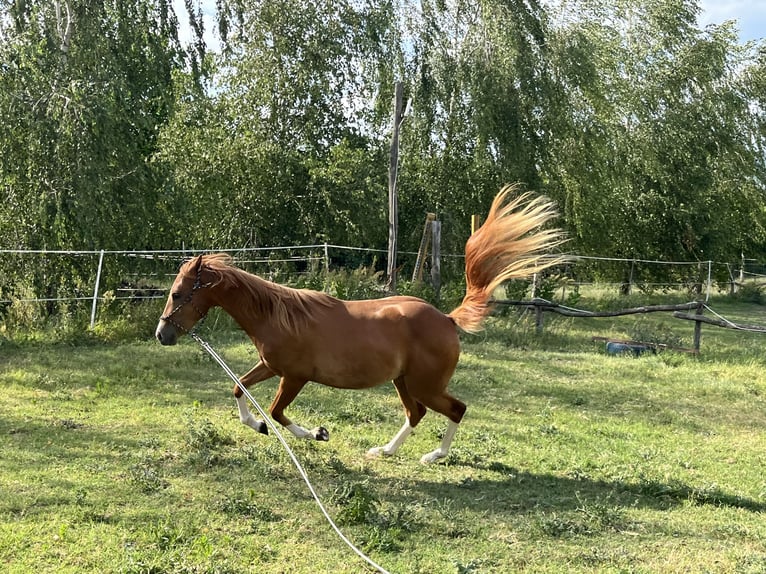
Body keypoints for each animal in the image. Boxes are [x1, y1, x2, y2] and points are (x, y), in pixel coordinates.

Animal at [155, 185, 565, 463]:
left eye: (177, 293)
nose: (162, 334)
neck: (279, 316)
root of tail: (447, 320)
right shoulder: (272, 366)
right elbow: (239, 388)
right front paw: (257, 426)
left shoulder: (294, 376)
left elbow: (276, 411)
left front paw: (316, 433)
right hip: (403, 382)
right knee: (416, 414)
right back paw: (384, 450)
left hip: (425, 385)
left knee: (456, 409)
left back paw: (434, 456)